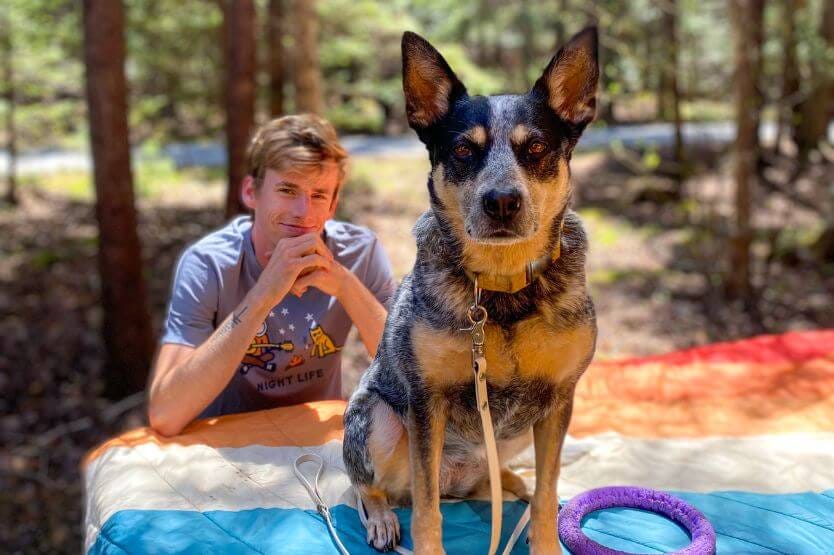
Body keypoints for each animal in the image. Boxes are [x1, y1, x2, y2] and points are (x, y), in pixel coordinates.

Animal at [340, 27, 600, 555]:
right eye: (463, 150)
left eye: (536, 147)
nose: (501, 201)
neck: (501, 290)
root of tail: (458, 478)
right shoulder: (426, 402)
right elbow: (426, 509)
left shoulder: (559, 400)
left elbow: (548, 492)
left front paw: (543, 538)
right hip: (378, 418)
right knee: (370, 488)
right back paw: (382, 518)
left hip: (516, 434)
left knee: (505, 481)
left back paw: (512, 484)